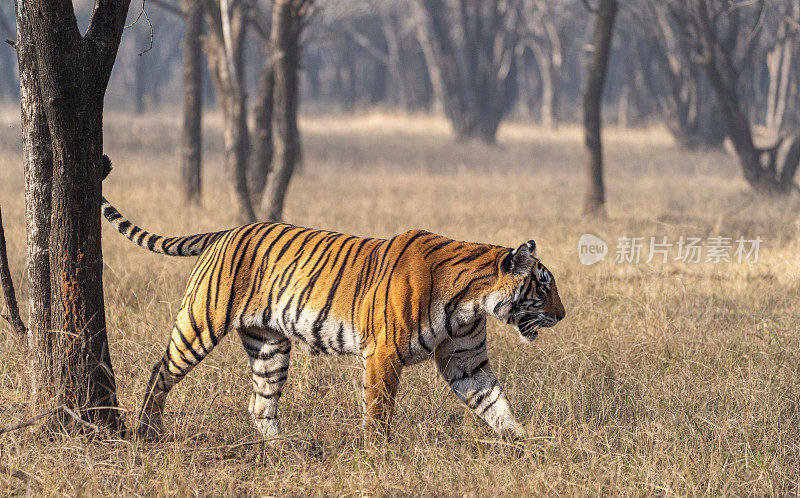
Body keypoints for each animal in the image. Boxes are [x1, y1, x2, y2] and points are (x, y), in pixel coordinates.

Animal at [100, 158, 564, 442]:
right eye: (543, 288)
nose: (562, 315)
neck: (471, 303)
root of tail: (226, 231)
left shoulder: (466, 360)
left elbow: (495, 403)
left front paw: (525, 442)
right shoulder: (384, 354)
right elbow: (378, 410)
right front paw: (379, 456)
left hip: (269, 345)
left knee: (259, 403)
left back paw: (283, 449)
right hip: (200, 323)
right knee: (160, 370)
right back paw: (147, 430)